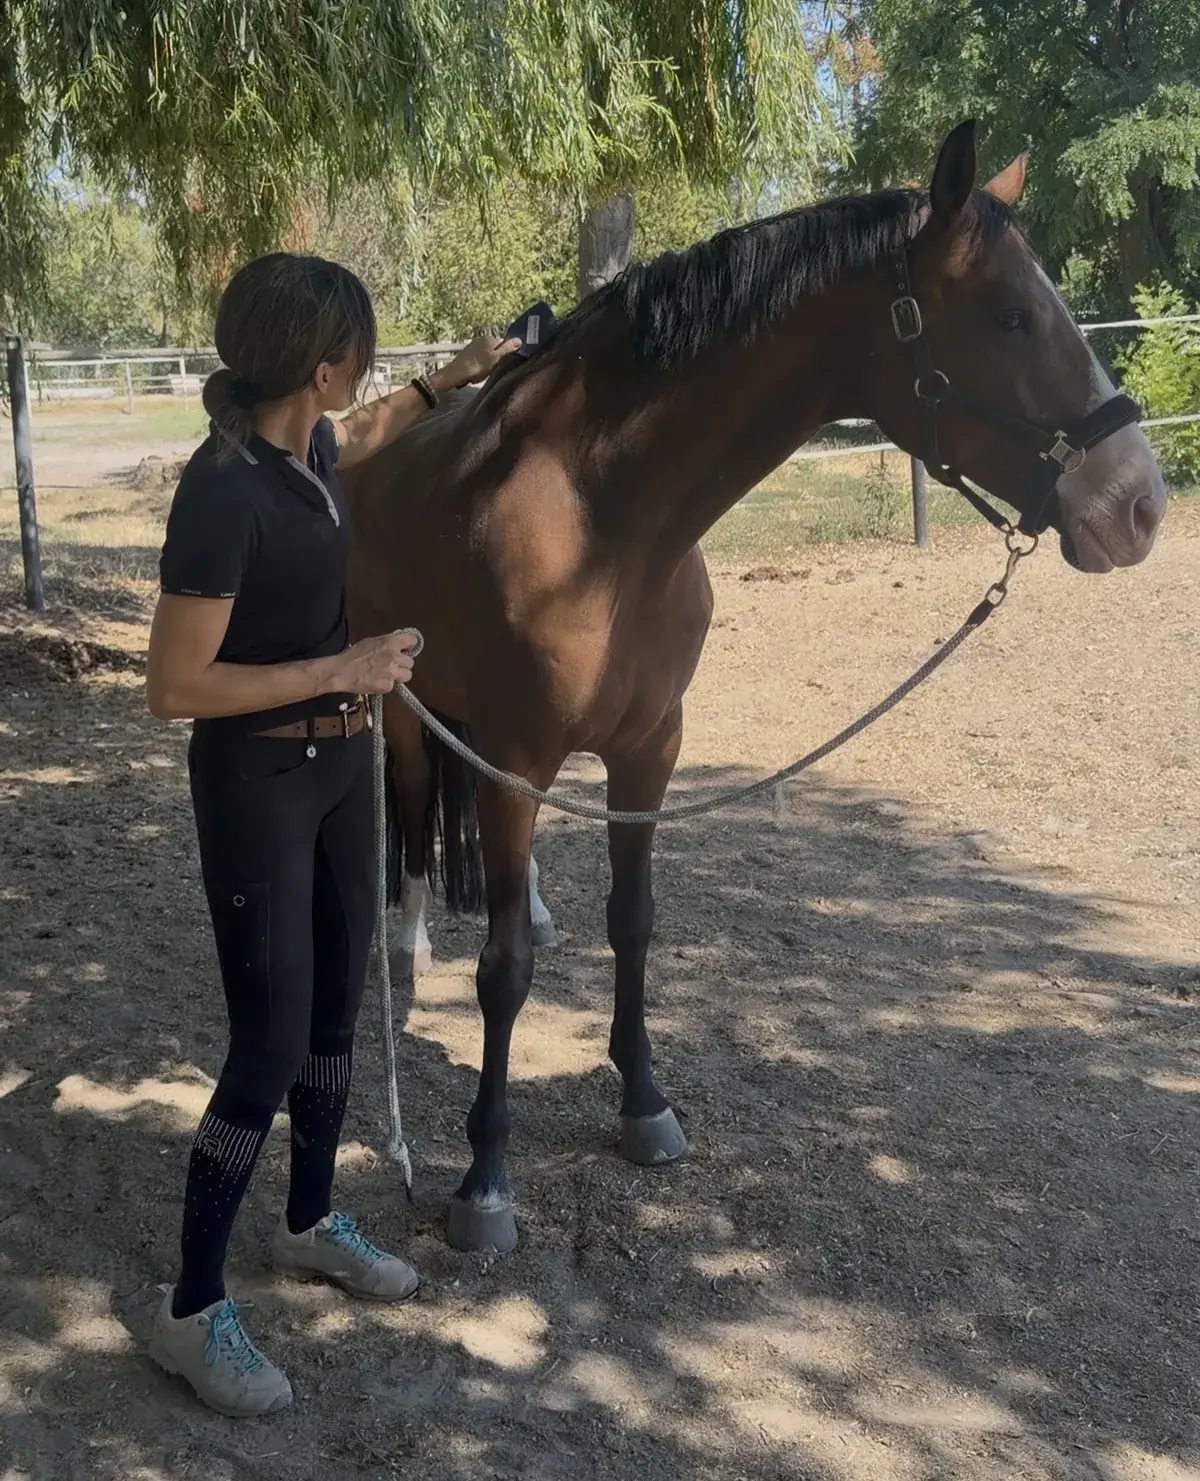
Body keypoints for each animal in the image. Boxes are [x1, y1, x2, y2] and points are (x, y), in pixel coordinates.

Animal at [344, 121, 1166, 1254]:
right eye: (1009, 314)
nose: (1139, 503)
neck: (602, 519)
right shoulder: (516, 757)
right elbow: (503, 970)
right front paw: (486, 1180)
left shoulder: (649, 751)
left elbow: (634, 920)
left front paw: (643, 1103)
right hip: (410, 712)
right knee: (417, 818)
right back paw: (410, 944)